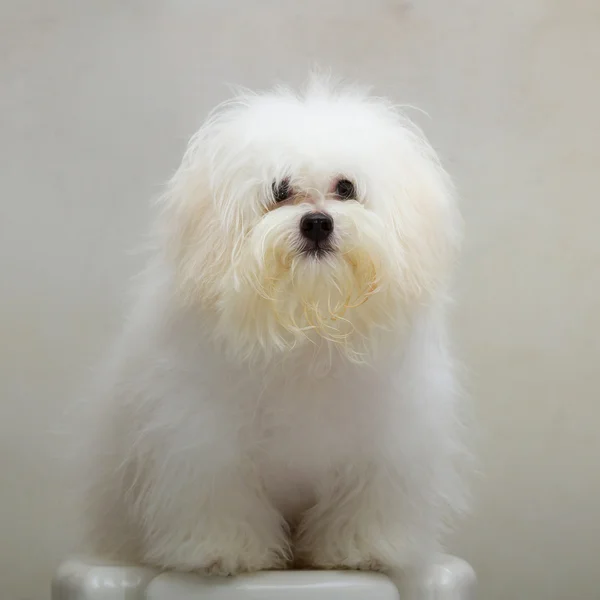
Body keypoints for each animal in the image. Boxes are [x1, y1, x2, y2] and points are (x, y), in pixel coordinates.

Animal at [76, 76, 468, 584]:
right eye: (280, 190)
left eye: (346, 188)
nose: (317, 222)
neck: (307, 324)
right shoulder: (202, 441)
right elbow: (222, 496)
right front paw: (224, 553)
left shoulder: (386, 447)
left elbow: (364, 500)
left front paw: (360, 551)